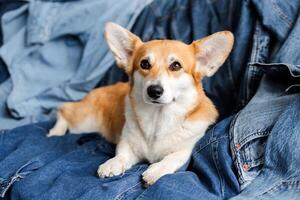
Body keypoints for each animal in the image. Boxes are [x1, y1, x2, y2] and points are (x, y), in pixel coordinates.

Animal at [47, 22, 234, 186]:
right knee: (63, 109)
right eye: (144, 64)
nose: (154, 90)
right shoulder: (127, 143)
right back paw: (55, 132)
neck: (158, 117)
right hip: (84, 122)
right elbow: (122, 154)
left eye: (176, 66)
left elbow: (173, 158)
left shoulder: (186, 150)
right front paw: (113, 163)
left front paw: (157, 170)